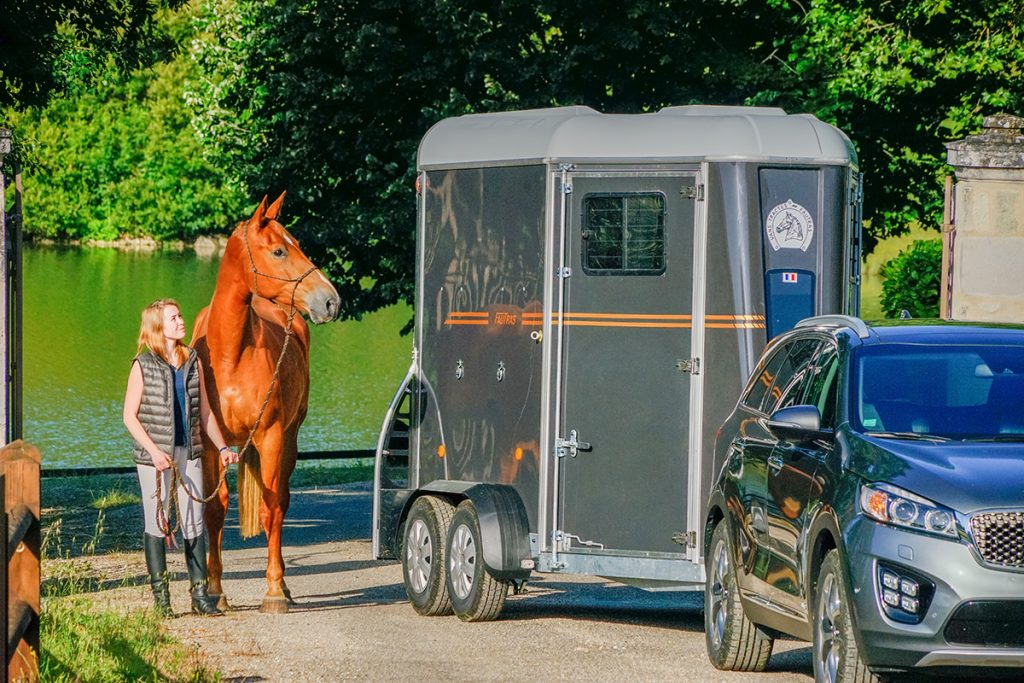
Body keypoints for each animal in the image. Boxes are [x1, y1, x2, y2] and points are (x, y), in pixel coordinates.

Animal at [188, 192, 339, 614]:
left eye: (297, 244)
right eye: (278, 250)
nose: (331, 301)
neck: (230, 354)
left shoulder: (270, 437)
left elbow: (272, 509)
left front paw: (273, 591)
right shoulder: (211, 446)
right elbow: (214, 510)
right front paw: (216, 591)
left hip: (288, 440)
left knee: (281, 503)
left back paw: (283, 585)